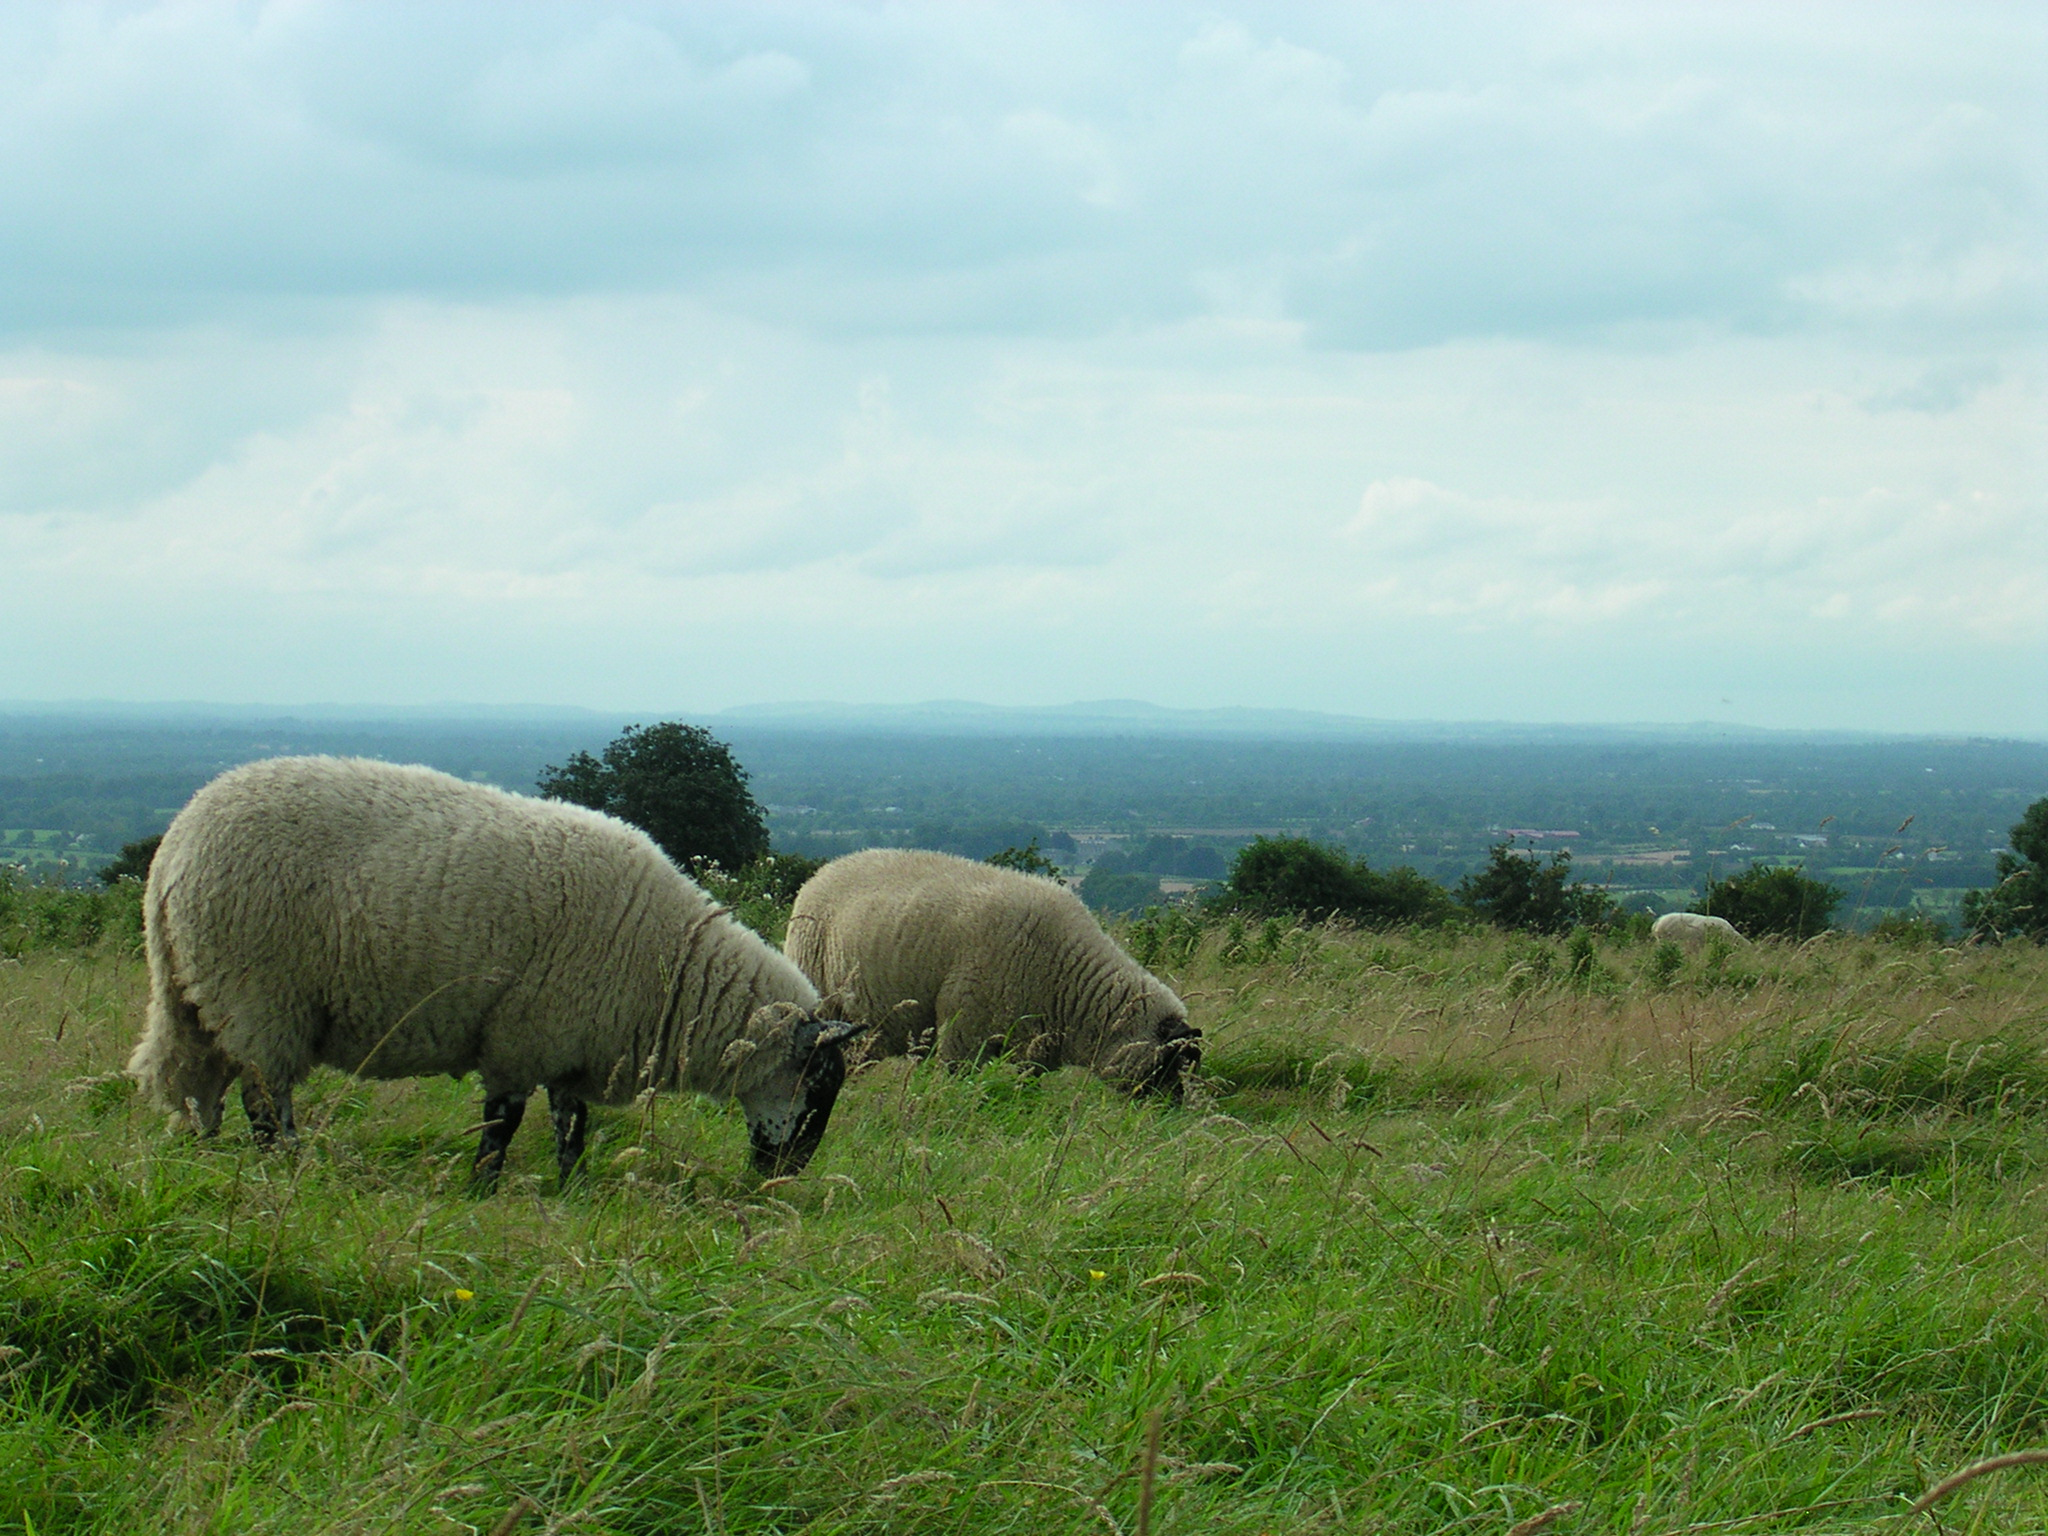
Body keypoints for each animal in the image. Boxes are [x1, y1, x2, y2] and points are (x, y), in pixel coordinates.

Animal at [128, 765, 864, 1187]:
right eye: (817, 1086)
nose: (783, 1179)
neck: (673, 969)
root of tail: (176, 847)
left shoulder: (571, 1044)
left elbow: (571, 1126)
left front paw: (570, 1190)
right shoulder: (522, 1036)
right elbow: (504, 1123)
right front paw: (482, 1187)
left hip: (202, 994)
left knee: (204, 1084)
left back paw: (210, 1151)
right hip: (260, 993)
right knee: (263, 1095)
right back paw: (284, 1164)